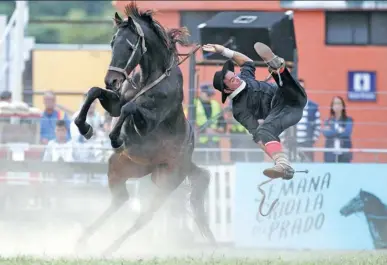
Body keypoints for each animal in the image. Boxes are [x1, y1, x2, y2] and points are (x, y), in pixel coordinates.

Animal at [74, 2, 217, 254]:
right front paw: (84, 127)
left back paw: (109, 249)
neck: (151, 79)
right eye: (112, 42)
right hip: (122, 169)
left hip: (165, 184)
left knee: (143, 218)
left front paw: (114, 137)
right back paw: (83, 240)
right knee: (120, 199)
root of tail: (189, 164)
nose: (112, 80)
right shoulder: (114, 101)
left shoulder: (147, 122)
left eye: (130, 46)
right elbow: (96, 92)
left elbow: (130, 107)